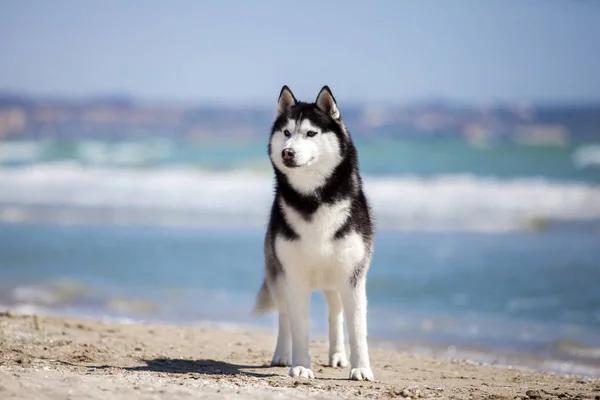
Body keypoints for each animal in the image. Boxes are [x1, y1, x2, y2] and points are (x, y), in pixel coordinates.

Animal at [253, 85, 376, 382]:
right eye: (287, 132)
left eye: (311, 133)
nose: (287, 152)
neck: (314, 200)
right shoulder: (294, 277)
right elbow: (299, 326)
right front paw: (300, 366)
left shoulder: (353, 276)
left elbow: (357, 329)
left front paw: (361, 368)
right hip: (277, 276)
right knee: (284, 316)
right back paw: (282, 355)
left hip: (336, 280)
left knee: (336, 314)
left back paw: (338, 355)